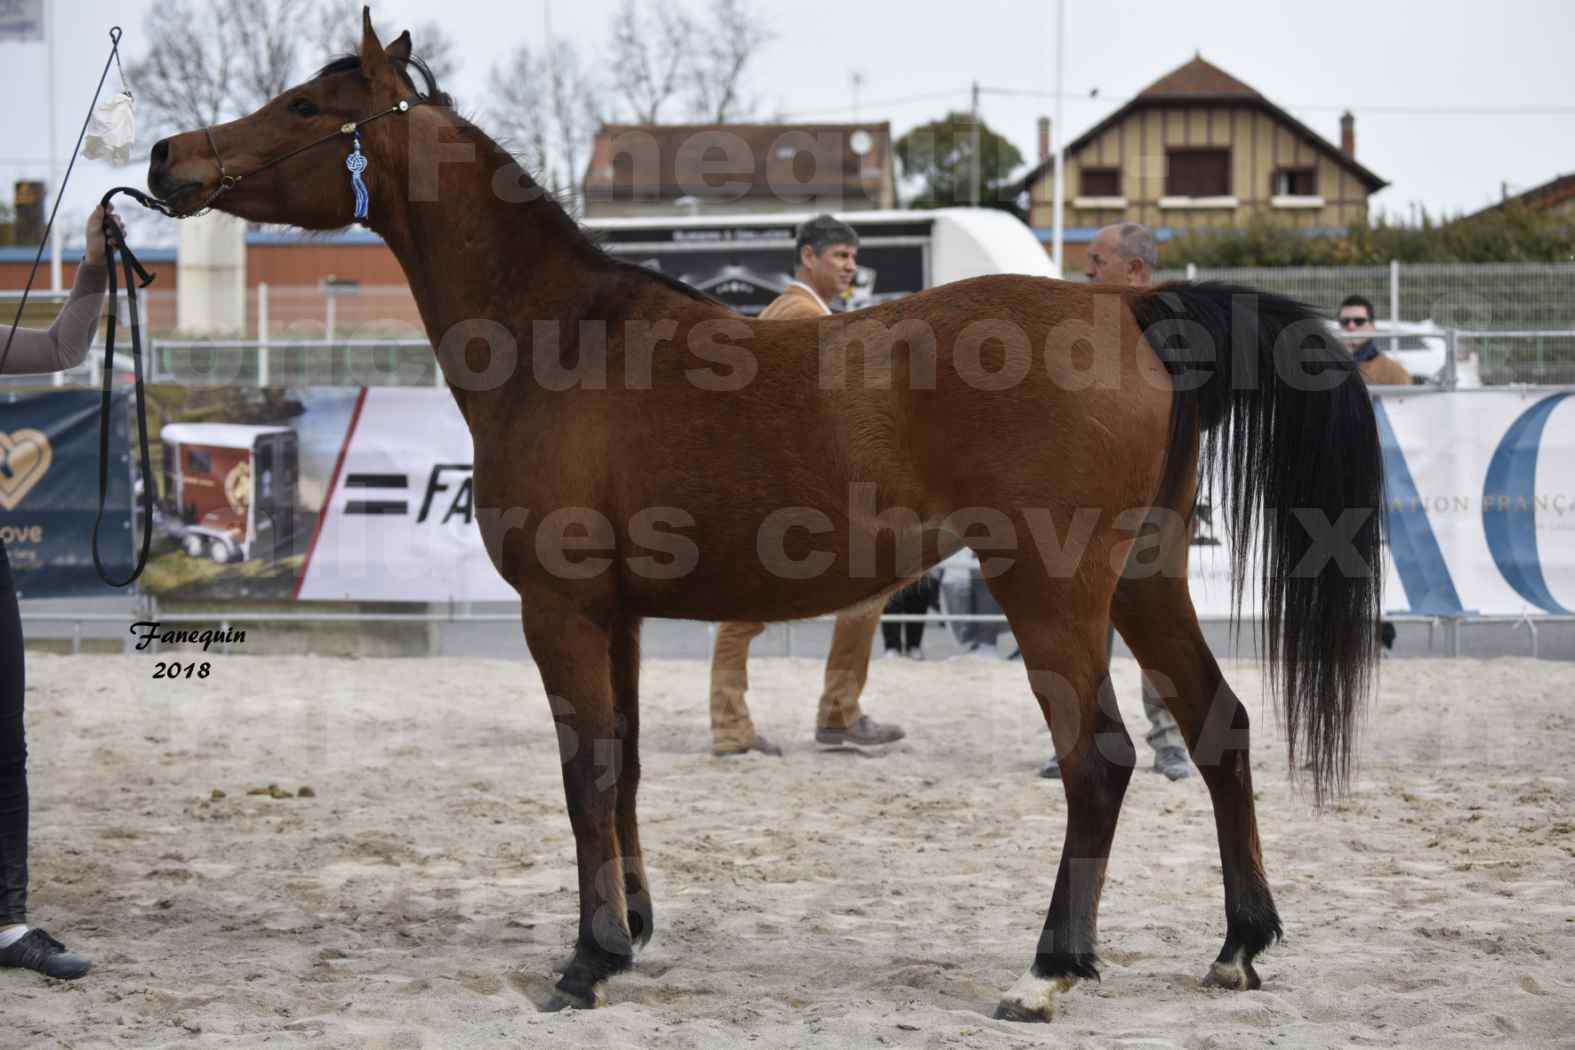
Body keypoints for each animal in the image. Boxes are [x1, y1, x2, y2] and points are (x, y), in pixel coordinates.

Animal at [144, 12, 1379, 1020]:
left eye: (307, 106)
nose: (167, 157)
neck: (562, 340)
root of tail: (1132, 315)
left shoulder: (561, 609)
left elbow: (584, 773)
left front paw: (587, 962)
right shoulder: (620, 615)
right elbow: (628, 765)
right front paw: (633, 929)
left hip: (1052, 589)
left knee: (1102, 758)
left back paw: (1048, 971)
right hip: (1145, 577)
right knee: (1218, 724)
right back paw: (1237, 947)